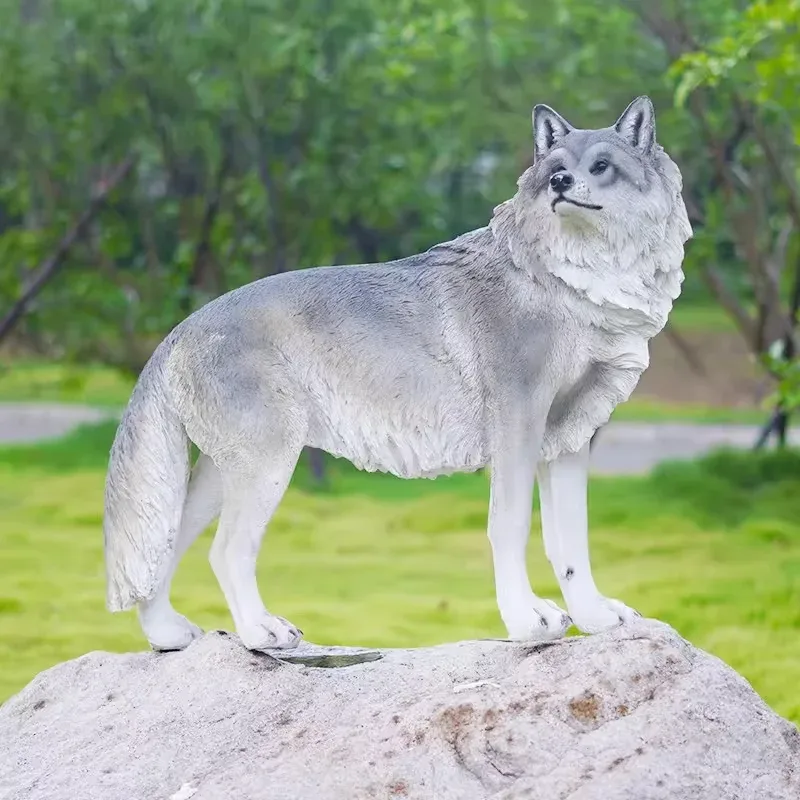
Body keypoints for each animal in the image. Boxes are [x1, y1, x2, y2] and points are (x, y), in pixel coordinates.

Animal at [103, 96, 692, 653]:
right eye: (556, 168)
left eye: (601, 166)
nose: (560, 184)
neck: (572, 283)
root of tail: (182, 327)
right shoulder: (517, 431)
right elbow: (509, 526)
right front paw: (526, 621)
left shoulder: (569, 441)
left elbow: (572, 543)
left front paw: (594, 620)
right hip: (267, 467)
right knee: (225, 553)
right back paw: (261, 633)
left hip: (217, 479)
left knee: (163, 552)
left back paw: (167, 635)